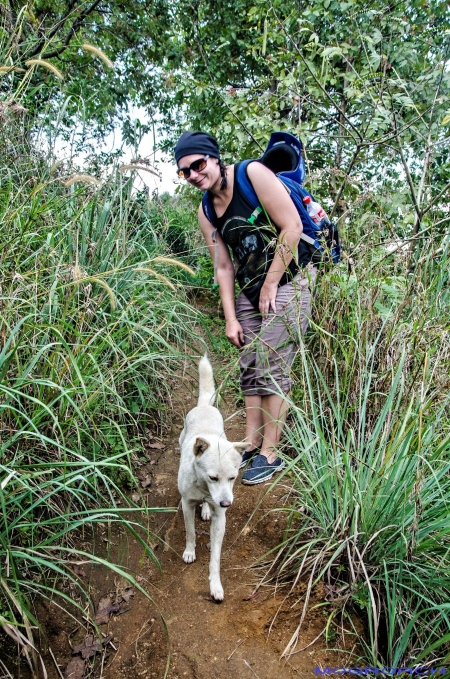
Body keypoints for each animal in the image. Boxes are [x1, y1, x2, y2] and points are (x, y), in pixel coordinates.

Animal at [178, 356, 250, 600]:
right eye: (213, 477)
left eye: (233, 478)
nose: (227, 503)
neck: (203, 487)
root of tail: (204, 406)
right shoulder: (187, 504)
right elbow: (190, 532)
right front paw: (189, 552)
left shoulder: (221, 518)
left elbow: (215, 558)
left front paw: (215, 585)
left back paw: (206, 510)